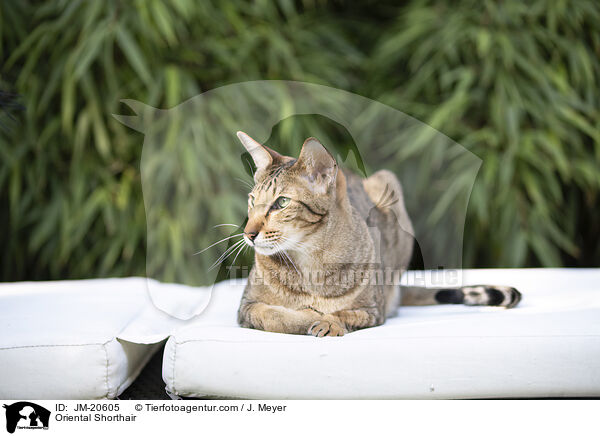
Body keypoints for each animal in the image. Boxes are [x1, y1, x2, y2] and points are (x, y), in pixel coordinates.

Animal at [234, 130, 520, 338]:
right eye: (252, 200)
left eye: (281, 202)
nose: (248, 234)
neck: (310, 259)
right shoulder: (247, 306)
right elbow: (276, 316)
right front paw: (310, 316)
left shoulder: (372, 309)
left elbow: (344, 314)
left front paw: (328, 321)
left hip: (389, 187)